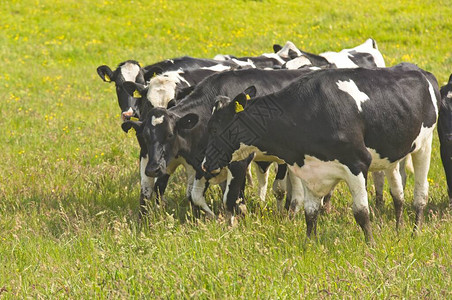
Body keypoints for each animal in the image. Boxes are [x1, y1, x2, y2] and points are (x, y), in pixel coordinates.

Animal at [120, 68, 318, 218]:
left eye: (170, 135)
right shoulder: (198, 163)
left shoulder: (239, 161)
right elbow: (189, 196)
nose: (153, 169)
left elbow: (231, 198)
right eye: (145, 136)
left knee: (285, 188)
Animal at [200, 63, 438, 244]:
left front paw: (371, 245)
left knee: (420, 194)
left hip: (424, 146)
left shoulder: (357, 163)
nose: (205, 164)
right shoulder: (309, 170)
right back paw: (399, 229)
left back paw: (415, 232)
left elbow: (361, 212)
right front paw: (309, 245)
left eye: (214, 128)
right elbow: (311, 213)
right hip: (391, 155)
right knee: (398, 194)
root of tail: (419, 70)